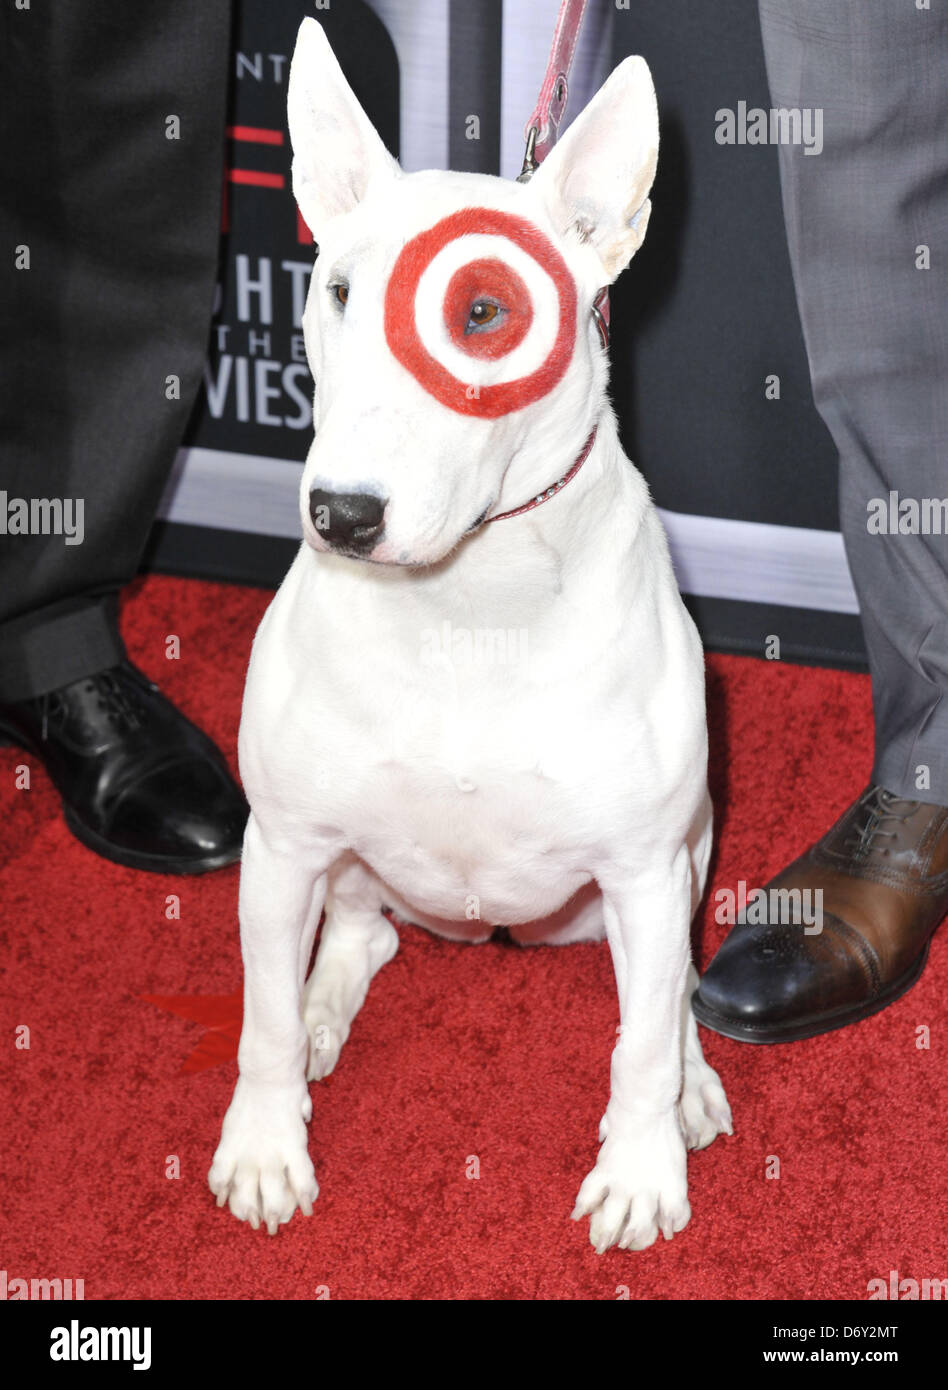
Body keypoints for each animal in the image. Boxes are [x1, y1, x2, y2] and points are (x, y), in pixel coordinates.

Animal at [209, 16, 728, 1256]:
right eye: (337, 290)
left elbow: (641, 1040)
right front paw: (264, 1146)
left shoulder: (644, 866)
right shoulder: (279, 841)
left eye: (484, 313)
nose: (341, 515)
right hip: (344, 860)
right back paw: (322, 1010)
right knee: (359, 932)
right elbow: (256, 1017)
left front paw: (639, 1172)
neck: (468, 601)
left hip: (686, 856)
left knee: (673, 991)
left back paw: (690, 1082)